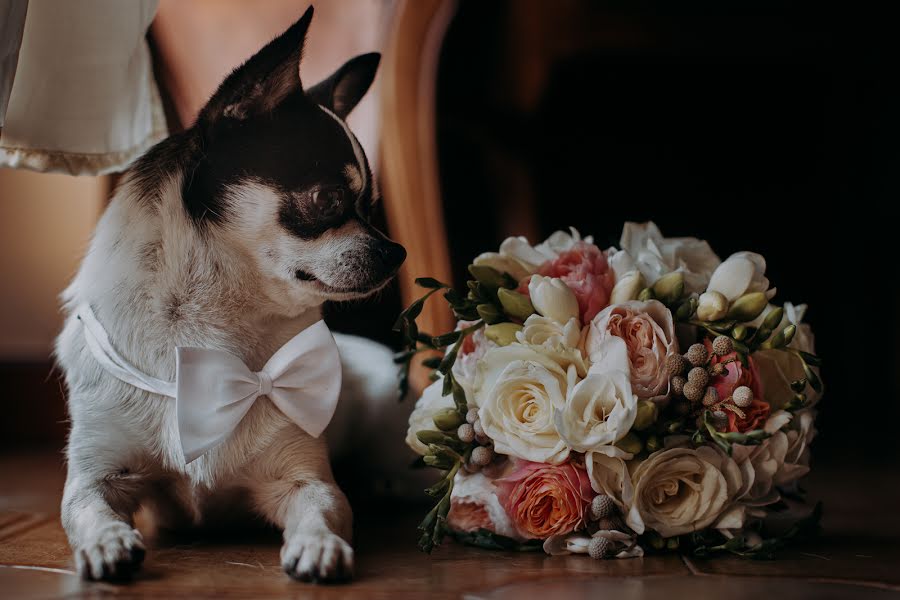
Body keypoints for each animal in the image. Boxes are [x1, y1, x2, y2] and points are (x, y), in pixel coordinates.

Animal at [54, 7, 406, 584]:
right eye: (327, 200)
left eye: (372, 208)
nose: (395, 251)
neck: (206, 330)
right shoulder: (97, 475)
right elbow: (87, 509)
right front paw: (107, 542)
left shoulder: (307, 480)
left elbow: (321, 508)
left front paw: (318, 545)